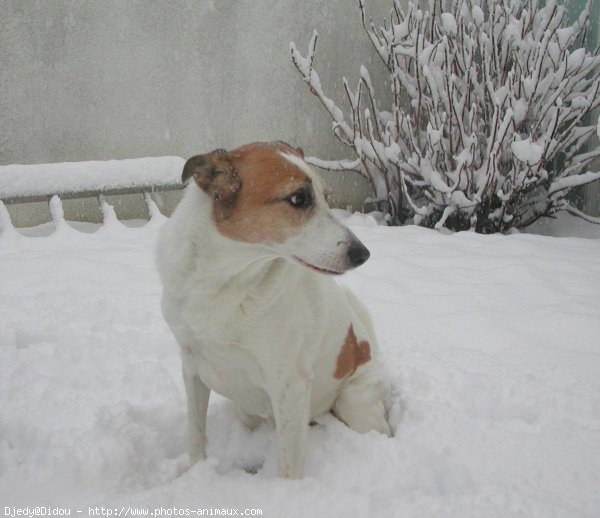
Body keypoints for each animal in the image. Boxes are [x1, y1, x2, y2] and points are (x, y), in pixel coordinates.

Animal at [157, 141, 392, 480]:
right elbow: (195, 434)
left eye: (325, 196)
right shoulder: (192, 366)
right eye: (299, 198)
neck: (225, 282)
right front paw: (195, 472)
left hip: (355, 401)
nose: (362, 254)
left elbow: (289, 467)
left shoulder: (290, 385)